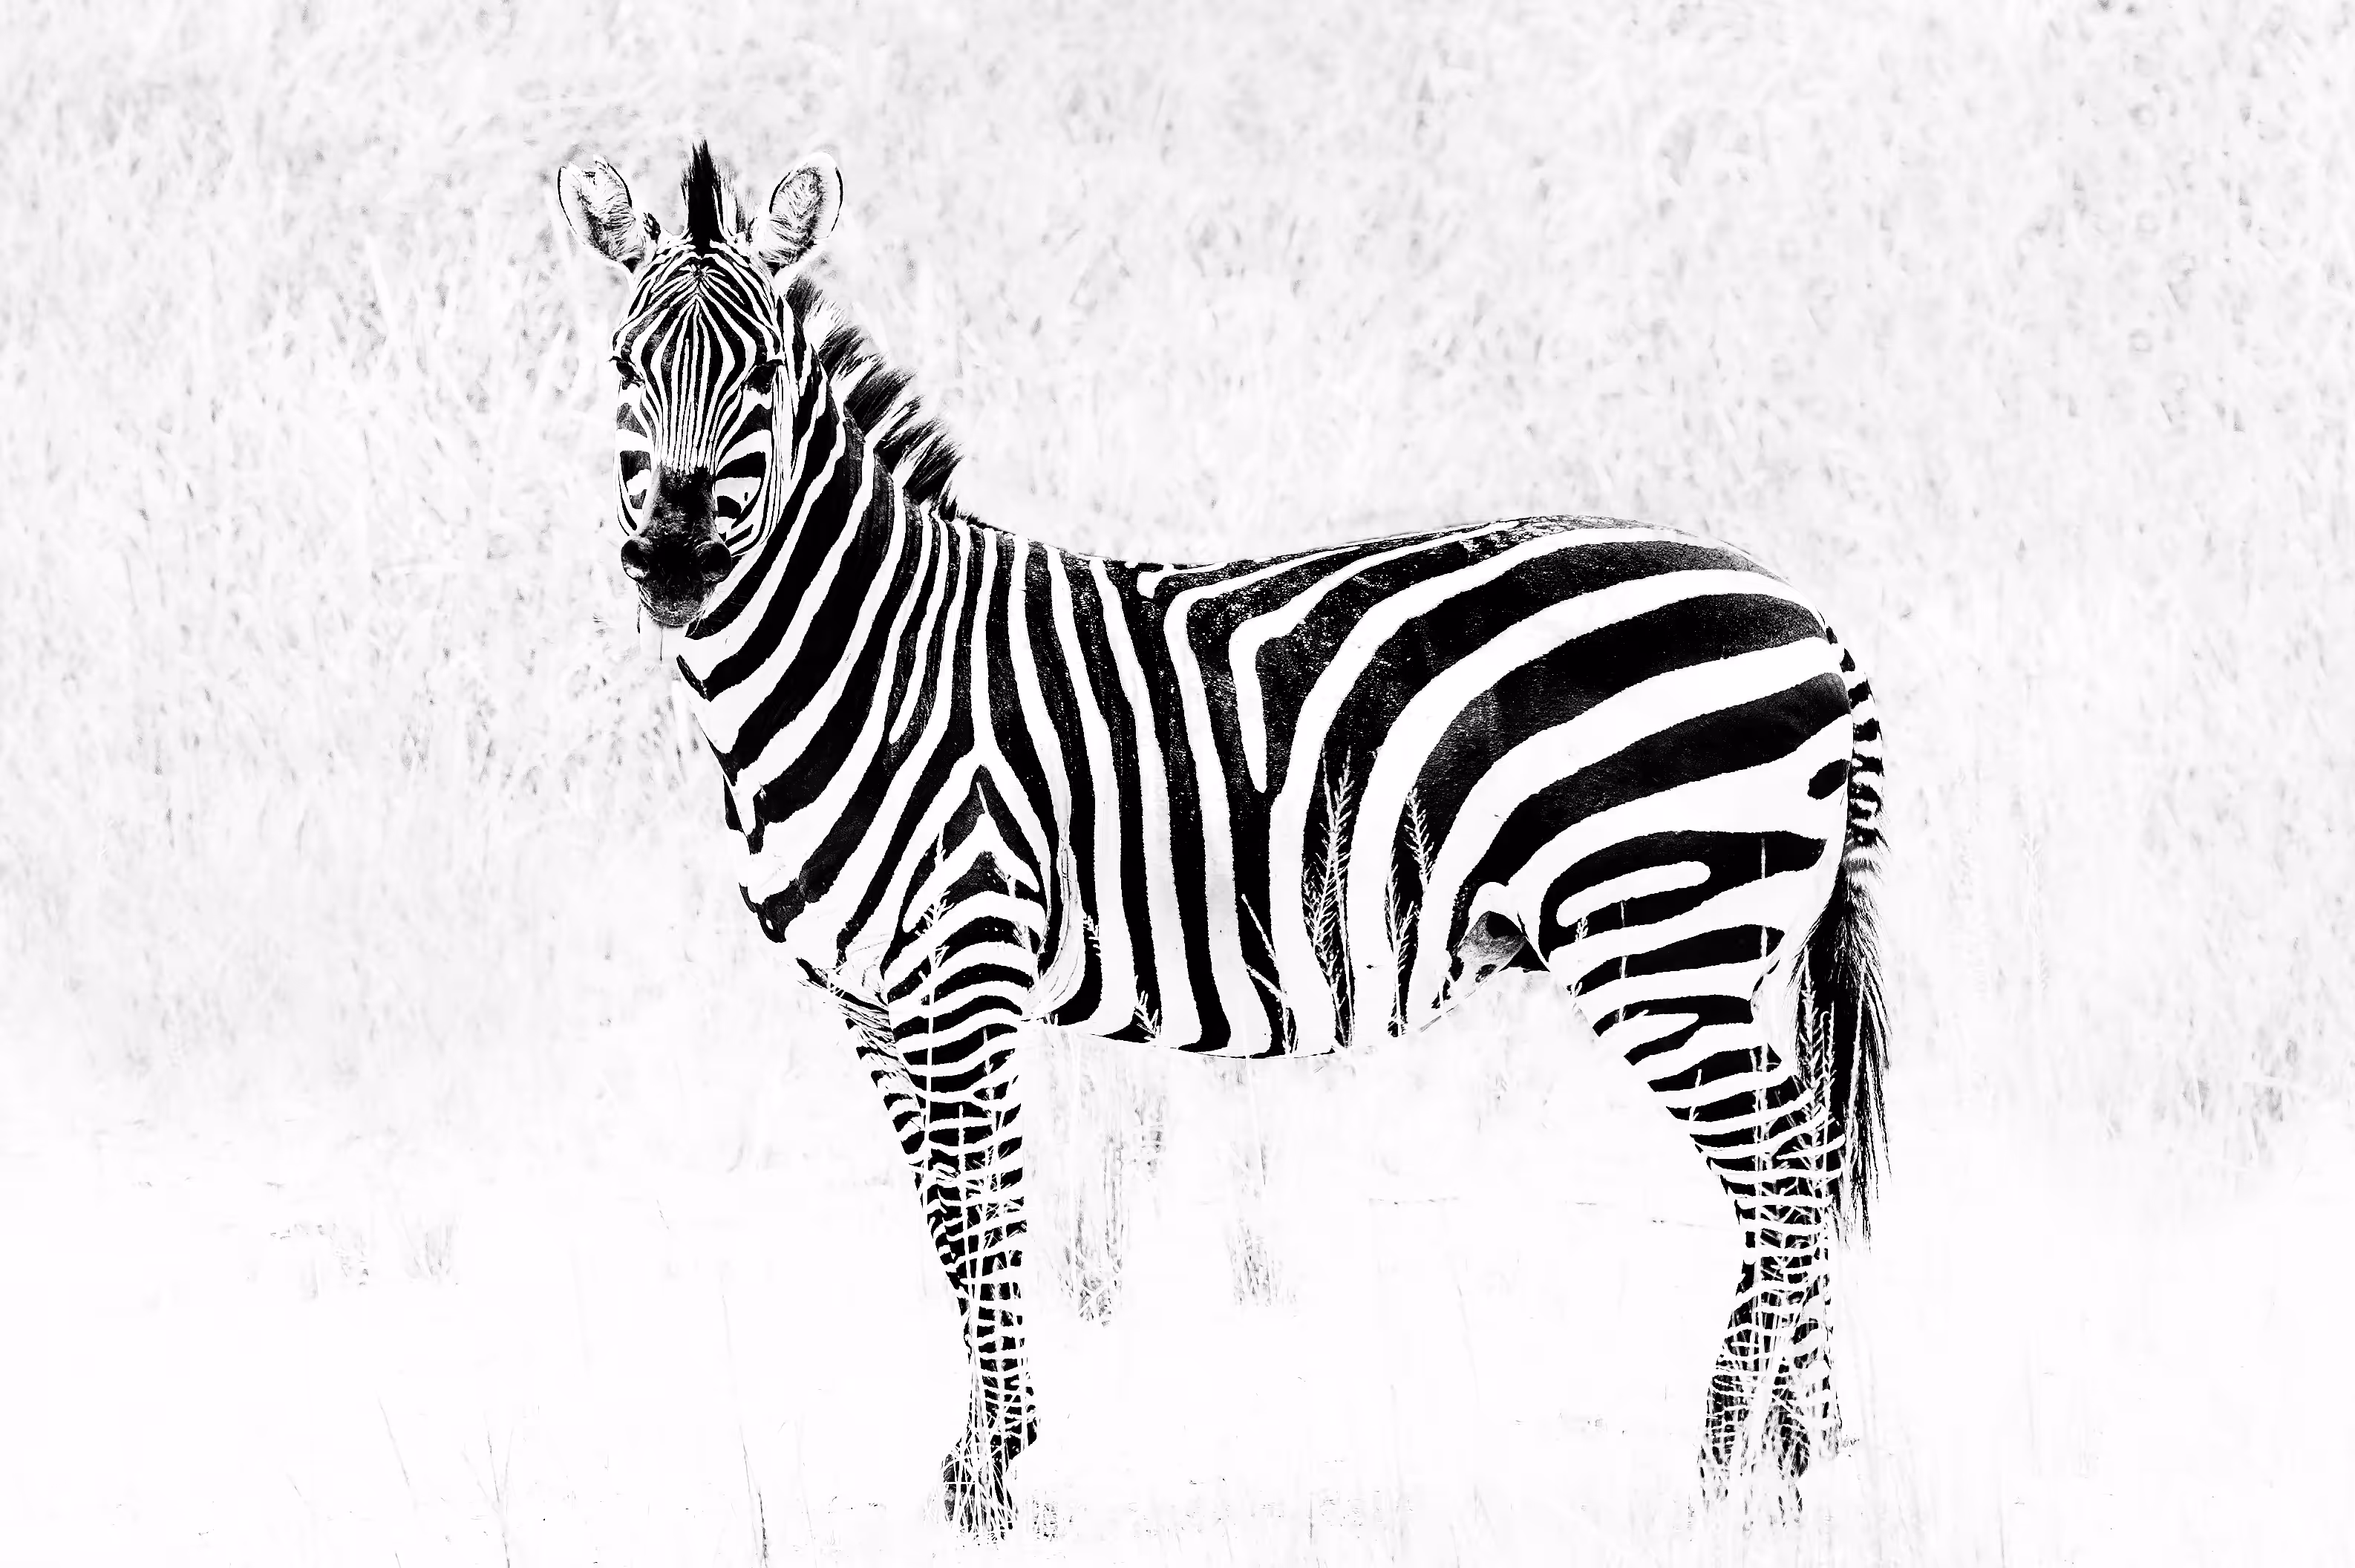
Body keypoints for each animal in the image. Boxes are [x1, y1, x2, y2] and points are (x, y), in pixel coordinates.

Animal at [556, 143, 1890, 1533]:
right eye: (623, 366)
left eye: (761, 372)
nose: (670, 564)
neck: (867, 657)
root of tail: (1808, 614)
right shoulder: (870, 999)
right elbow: (945, 1222)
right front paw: (976, 1462)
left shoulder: (964, 964)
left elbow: (984, 1217)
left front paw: (996, 1469)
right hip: (1725, 951)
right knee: (1792, 1167)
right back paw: (1785, 1451)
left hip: (1663, 935)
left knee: (1786, 1173)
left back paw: (1741, 1460)